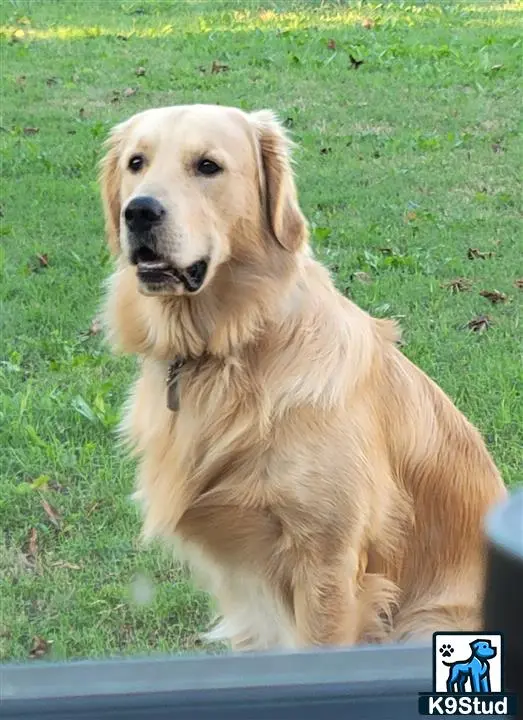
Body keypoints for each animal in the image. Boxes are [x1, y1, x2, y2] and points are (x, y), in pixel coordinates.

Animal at [98, 104, 508, 648]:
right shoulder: (244, 588)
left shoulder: (328, 562)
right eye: (136, 163)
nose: (139, 212)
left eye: (208, 166)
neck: (230, 347)